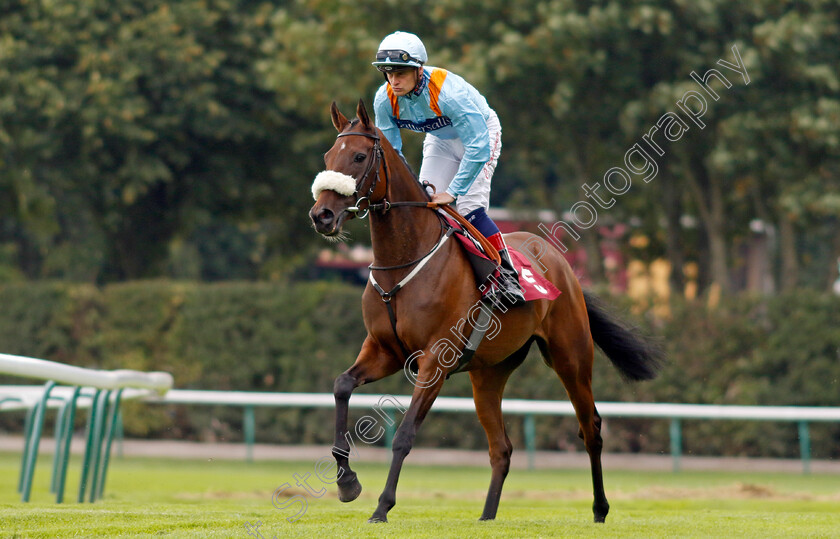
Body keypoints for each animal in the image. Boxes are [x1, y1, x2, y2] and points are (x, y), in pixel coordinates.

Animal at [308, 100, 664, 524]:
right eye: (328, 156)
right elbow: (341, 385)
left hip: (571, 357)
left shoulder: (435, 360)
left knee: (590, 427)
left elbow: (406, 434)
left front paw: (382, 506)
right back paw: (487, 516)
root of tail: (561, 263)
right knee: (502, 448)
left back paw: (599, 508)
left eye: (360, 156)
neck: (405, 260)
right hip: (489, 374)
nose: (322, 215)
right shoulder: (384, 351)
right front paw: (347, 482)